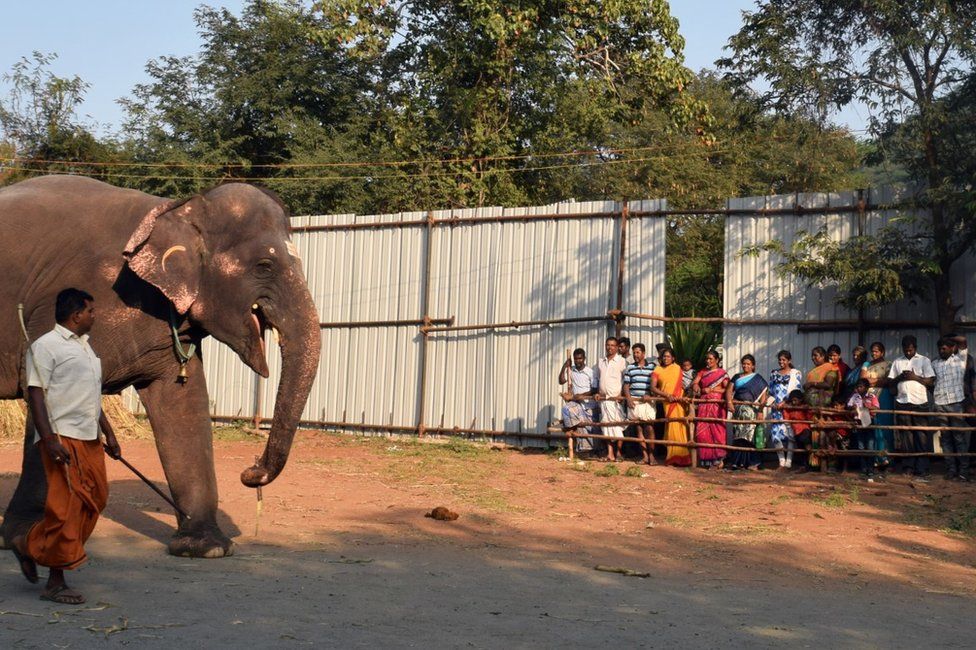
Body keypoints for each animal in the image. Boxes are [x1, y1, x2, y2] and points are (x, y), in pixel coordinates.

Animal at [0, 175, 320, 557]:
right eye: (264, 266)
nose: (251, 472)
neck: (175, 209)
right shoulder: (56, 308)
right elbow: (47, 395)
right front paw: (26, 540)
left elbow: (183, 401)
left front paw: (205, 548)